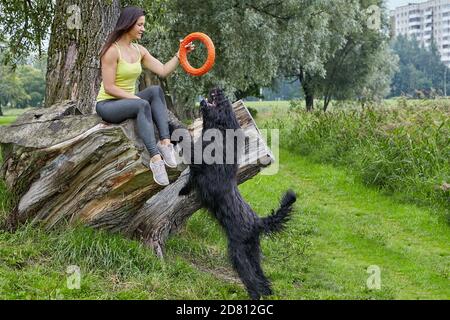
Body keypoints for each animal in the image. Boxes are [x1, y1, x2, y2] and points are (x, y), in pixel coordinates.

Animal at [178, 87, 298, 300]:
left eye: (225, 104)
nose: (217, 89)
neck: (219, 134)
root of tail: (258, 222)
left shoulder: (198, 158)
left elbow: (187, 146)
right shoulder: (195, 171)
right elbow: (189, 180)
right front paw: (183, 191)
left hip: (238, 252)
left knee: (250, 277)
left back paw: (255, 295)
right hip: (253, 252)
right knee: (261, 276)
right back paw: (267, 292)